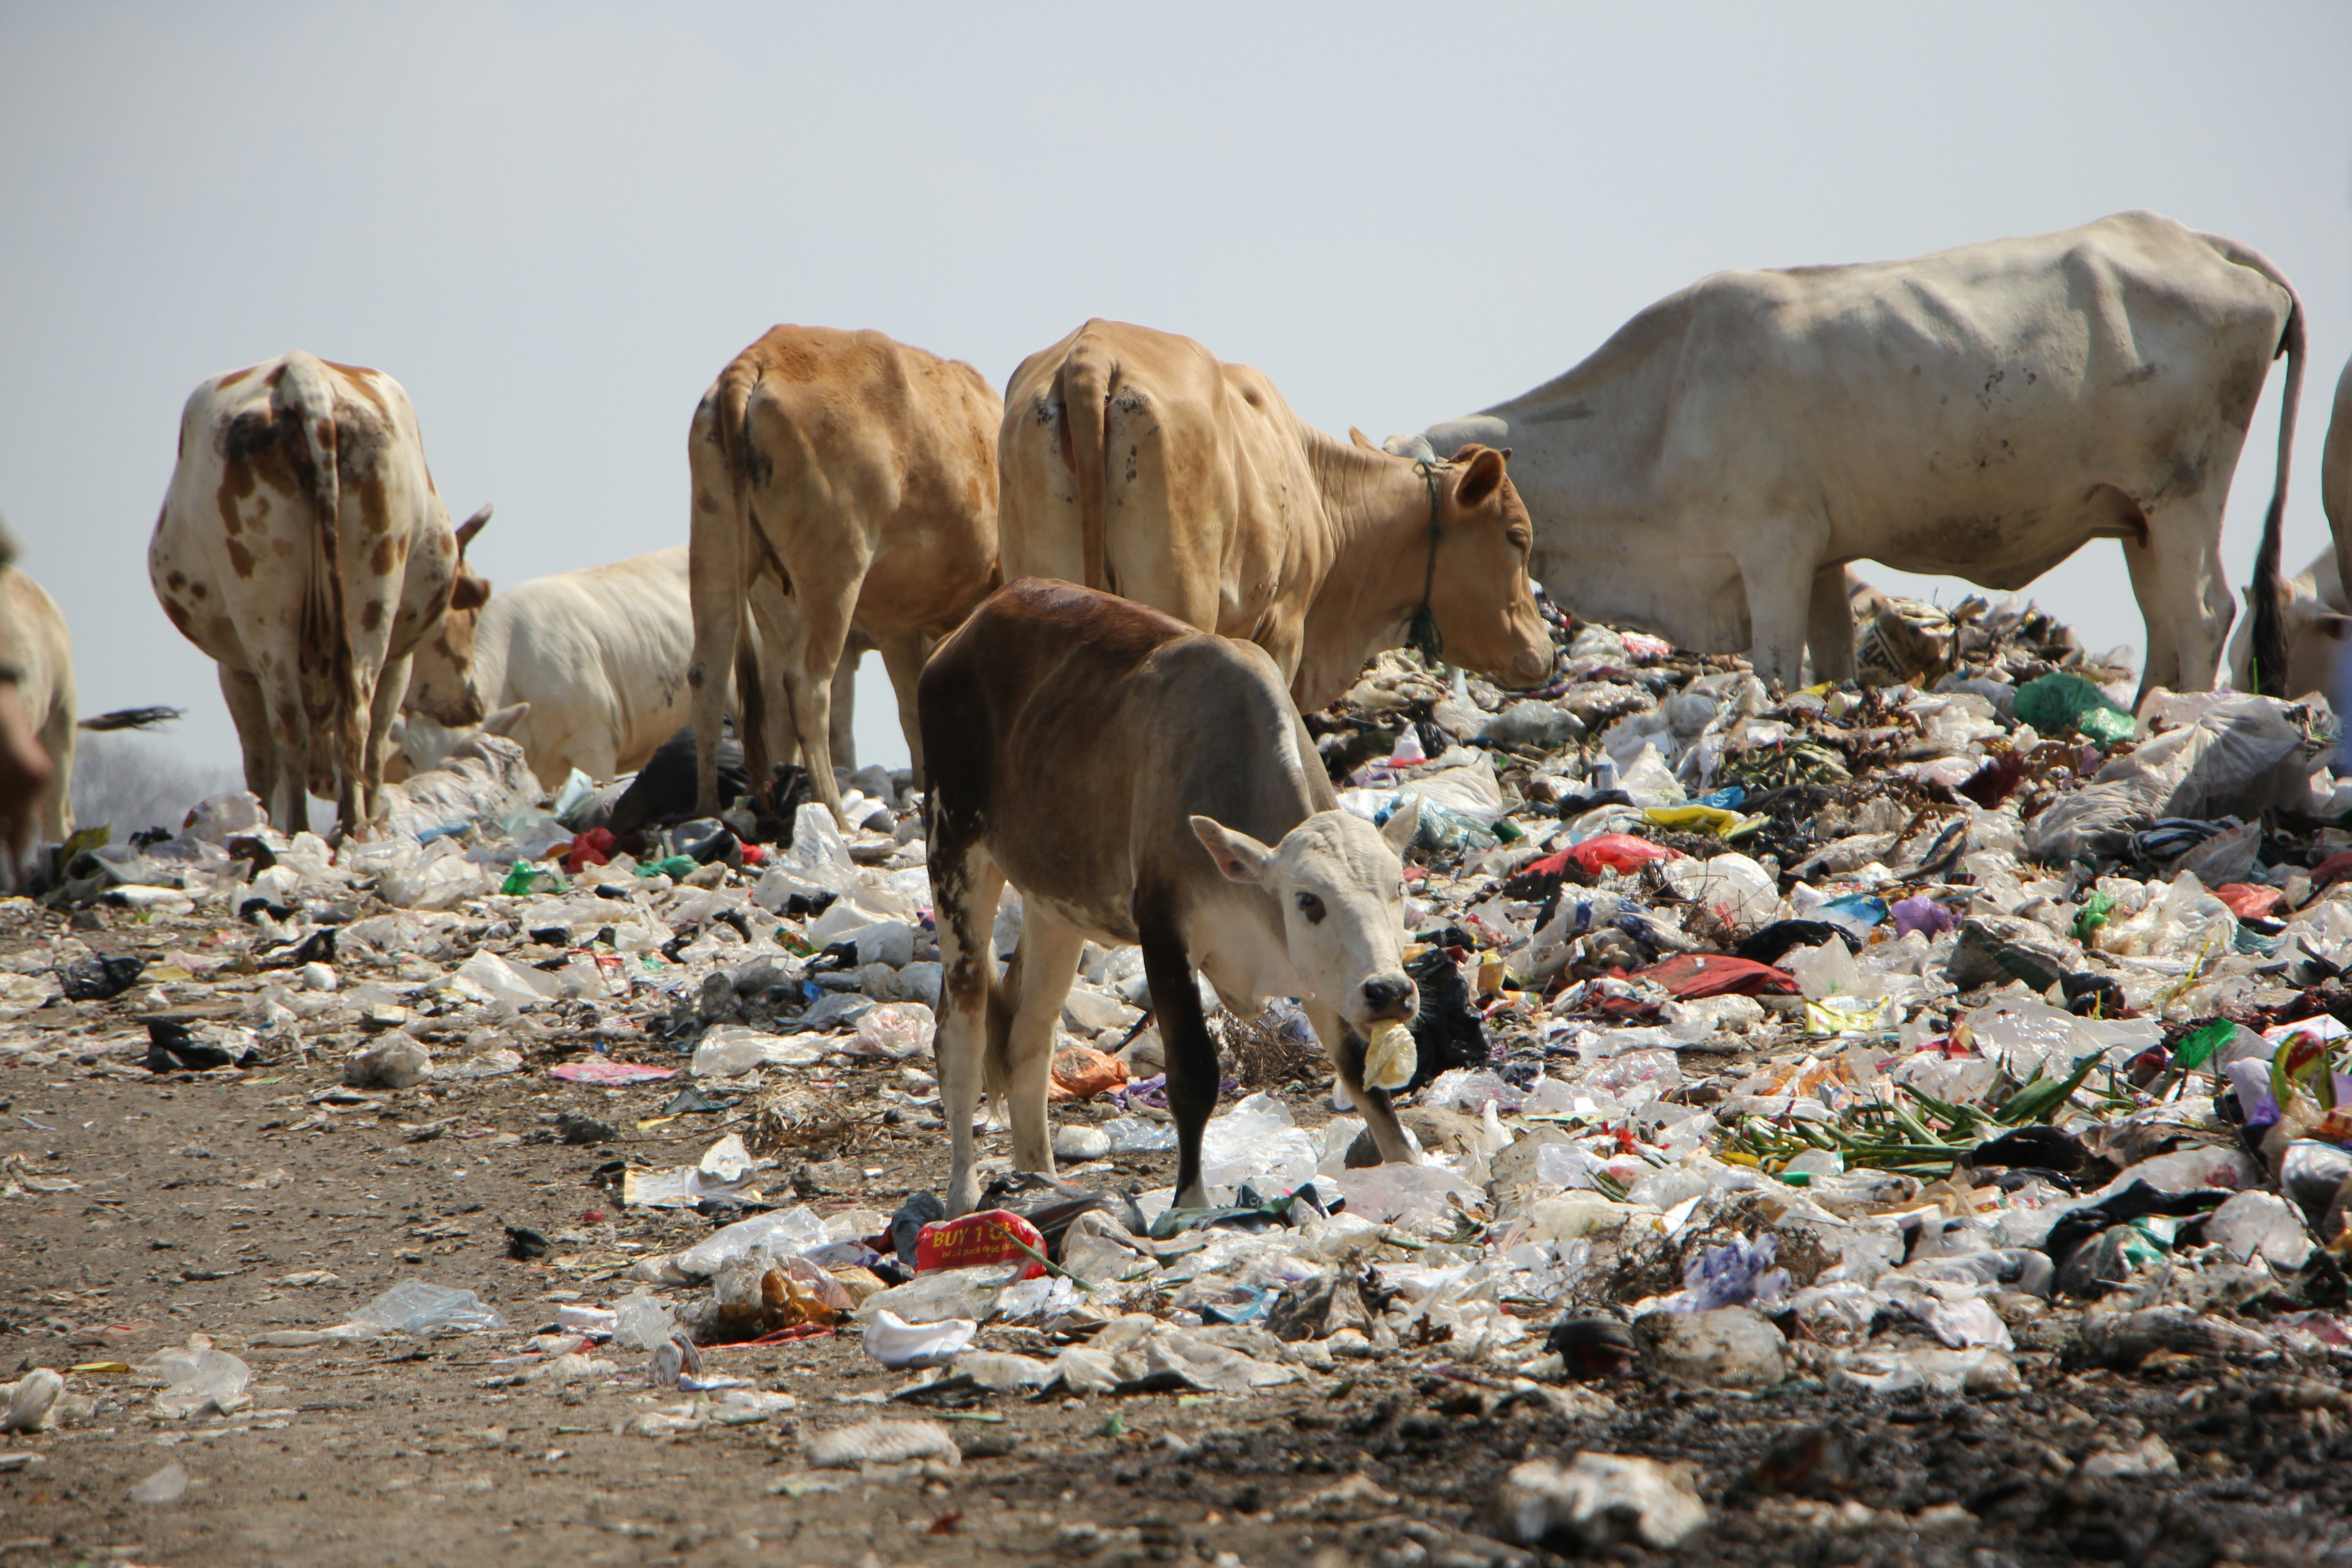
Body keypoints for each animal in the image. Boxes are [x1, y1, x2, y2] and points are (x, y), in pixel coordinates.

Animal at [149, 350, 489, 841]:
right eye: (471, 615)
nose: (472, 703)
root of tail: (301, 374)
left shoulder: (236, 669)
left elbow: (263, 760)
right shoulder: (398, 661)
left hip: (267, 611)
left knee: (305, 727)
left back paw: (304, 830)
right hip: (367, 601)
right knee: (350, 722)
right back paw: (344, 827)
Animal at [686, 324, 1002, 827]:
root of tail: (760, 356)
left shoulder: (899, 622)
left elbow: (913, 707)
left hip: (716, 539)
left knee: (708, 674)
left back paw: (707, 809)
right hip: (833, 567)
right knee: (807, 684)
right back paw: (833, 811)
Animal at [926, 576, 1421, 1213]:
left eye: (1398, 890)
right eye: (1308, 901)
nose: (1390, 992)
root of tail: (971, 626)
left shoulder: (1318, 974)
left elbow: (1362, 1075)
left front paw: (1411, 1173)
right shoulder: (1163, 929)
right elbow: (1193, 1075)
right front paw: (1190, 1204)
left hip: (1054, 905)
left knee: (1026, 1038)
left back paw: (1043, 1182)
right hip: (954, 856)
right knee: (961, 1037)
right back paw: (963, 1198)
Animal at [1383, 211, 2305, 701]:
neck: (1657, 414)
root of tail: (2195, 240)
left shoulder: (1773, 546)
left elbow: (1775, 671)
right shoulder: (1822, 556)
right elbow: (1827, 667)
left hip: (2181, 495)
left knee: (2202, 616)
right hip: (2137, 515)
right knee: (2165, 623)